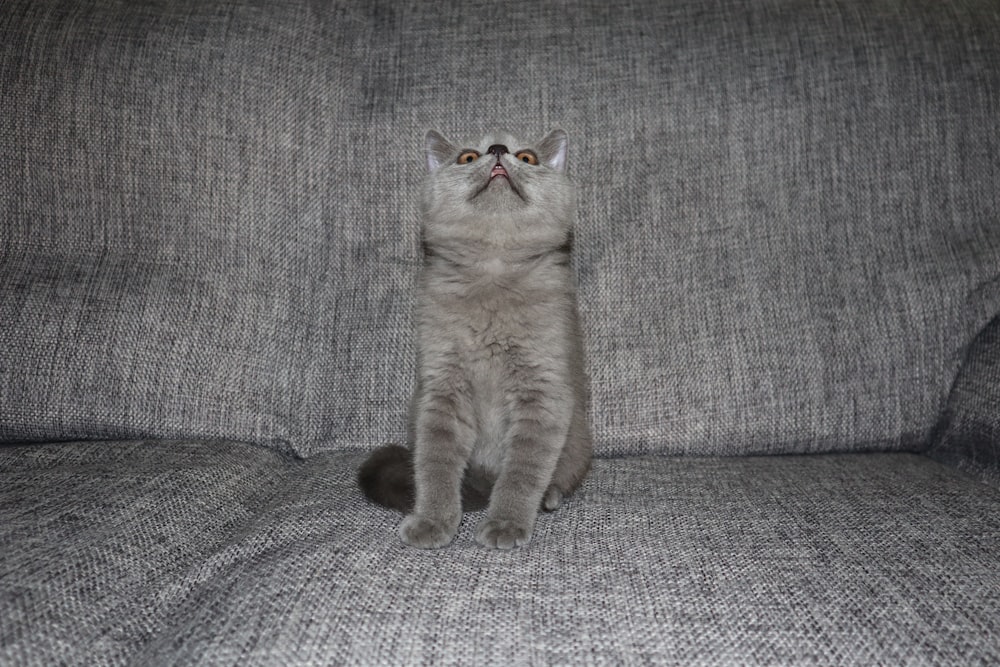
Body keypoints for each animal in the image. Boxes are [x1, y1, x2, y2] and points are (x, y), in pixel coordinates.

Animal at [360, 128, 588, 552]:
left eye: (527, 157)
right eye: (467, 157)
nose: (498, 151)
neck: (493, 270)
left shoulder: (544, 390)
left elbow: (523, 469)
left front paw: (506, 524)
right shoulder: (442, 387)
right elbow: (435, 462)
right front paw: (433, 521)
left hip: (578, 440)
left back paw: (550, 496)